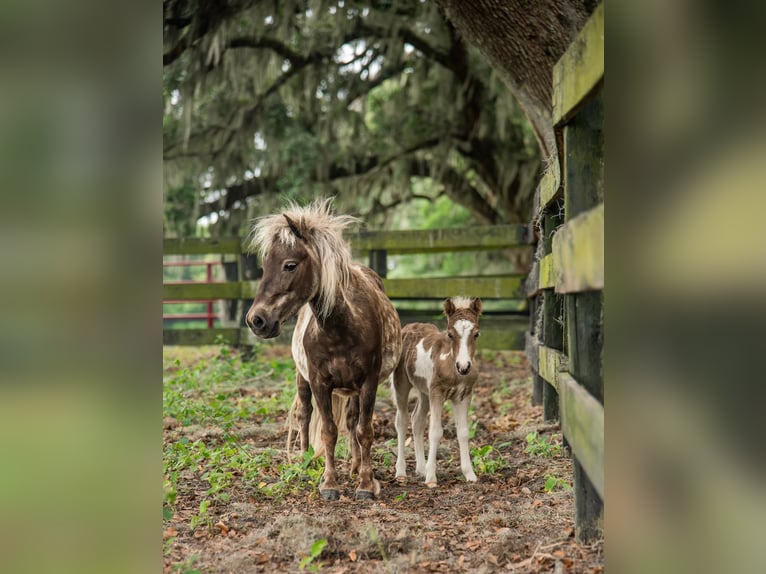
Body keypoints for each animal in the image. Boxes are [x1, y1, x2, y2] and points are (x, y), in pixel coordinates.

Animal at [246, 200, 402, 502]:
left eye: (290, 265)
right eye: (264, 265)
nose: (256, 320)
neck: (341, 328)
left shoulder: (369, 382)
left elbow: (364, 431)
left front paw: (366, 483)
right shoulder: (319, 382)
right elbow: (329, 431)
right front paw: (329, 483)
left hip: (353, 389)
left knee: (352, 422)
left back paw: (355, 466)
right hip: (302, 378)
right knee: (304, 415)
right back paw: (306, 462)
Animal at [392, 296, 484, 490]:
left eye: (476, 334)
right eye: (450, 334)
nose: (463, 367)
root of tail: (407, 327)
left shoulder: (463, 395)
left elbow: (463, 432)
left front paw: (470, 475)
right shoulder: (437, 393)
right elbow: (435, 431)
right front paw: (431, 478)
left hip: (424, 391)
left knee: (417, 420)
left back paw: (420, 468)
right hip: (402, 384)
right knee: (402, 421)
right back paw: (401, 472)